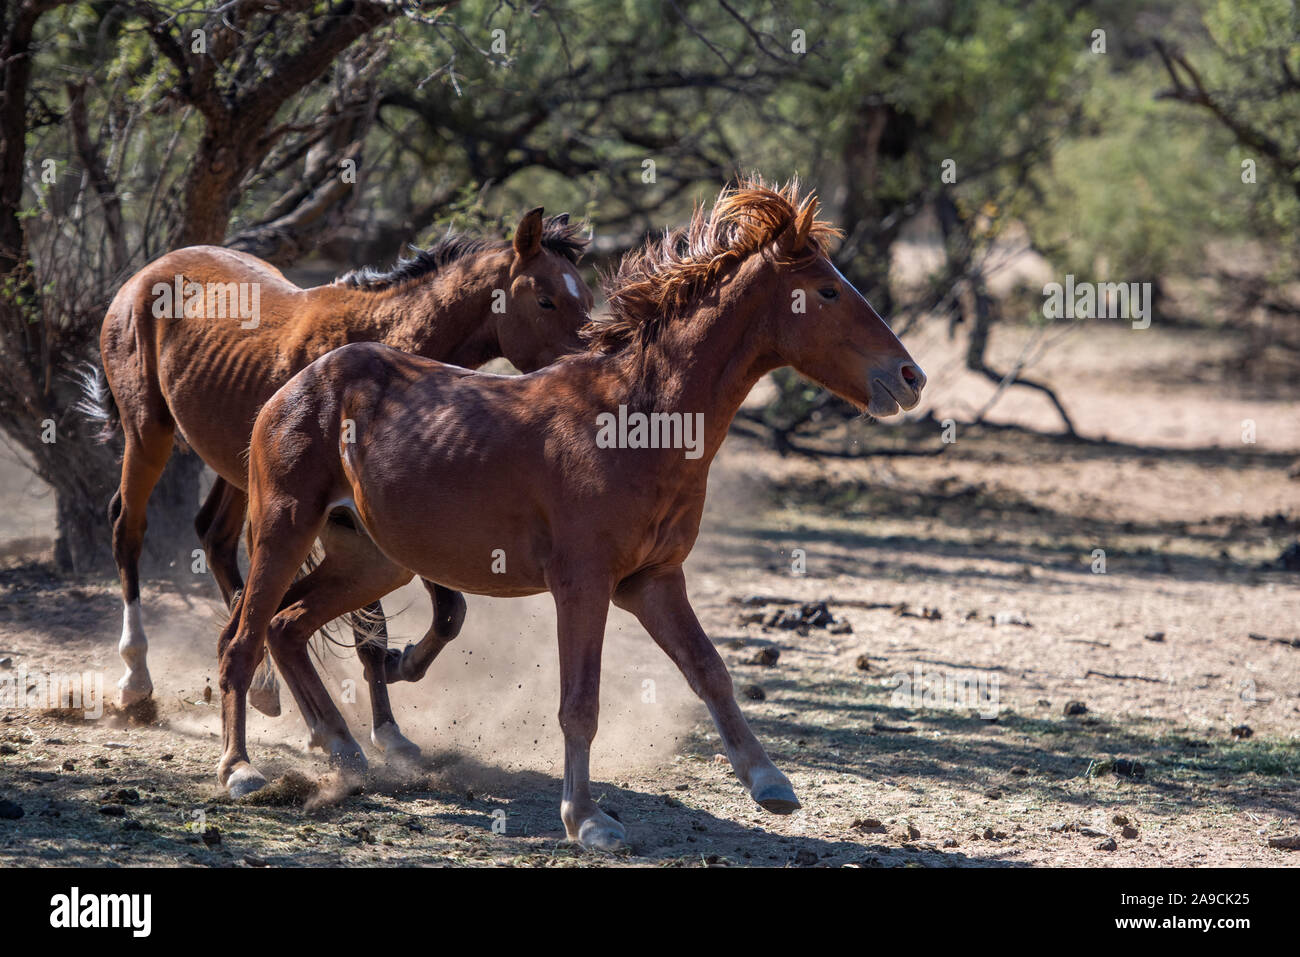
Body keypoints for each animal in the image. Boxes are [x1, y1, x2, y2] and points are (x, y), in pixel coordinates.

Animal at [96, 209, 595, 764]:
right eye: (546, 299)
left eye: (585, 296)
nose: (589, 360)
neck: (386, 345)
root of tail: (145, 275)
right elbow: (375, 628)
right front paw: (383, 720)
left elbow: (446, 613)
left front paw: (394, 699)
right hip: (148, 432)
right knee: (128, 529)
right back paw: (136, 679)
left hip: (236, 472)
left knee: (215, 539)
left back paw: (266, 688)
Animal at [215, 178, 925, 842]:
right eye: (827, 291)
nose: (910, 378)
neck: (635, 420)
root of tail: (292, 388)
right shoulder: (583, 584)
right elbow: (580, 703)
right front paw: (586, 818)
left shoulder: (653, 581)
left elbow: (711, 672)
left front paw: (769, 781)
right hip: (283, 530)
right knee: (244, 641)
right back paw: (241, 770)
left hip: (372, 560)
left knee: (286, 626)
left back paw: (343, 749)